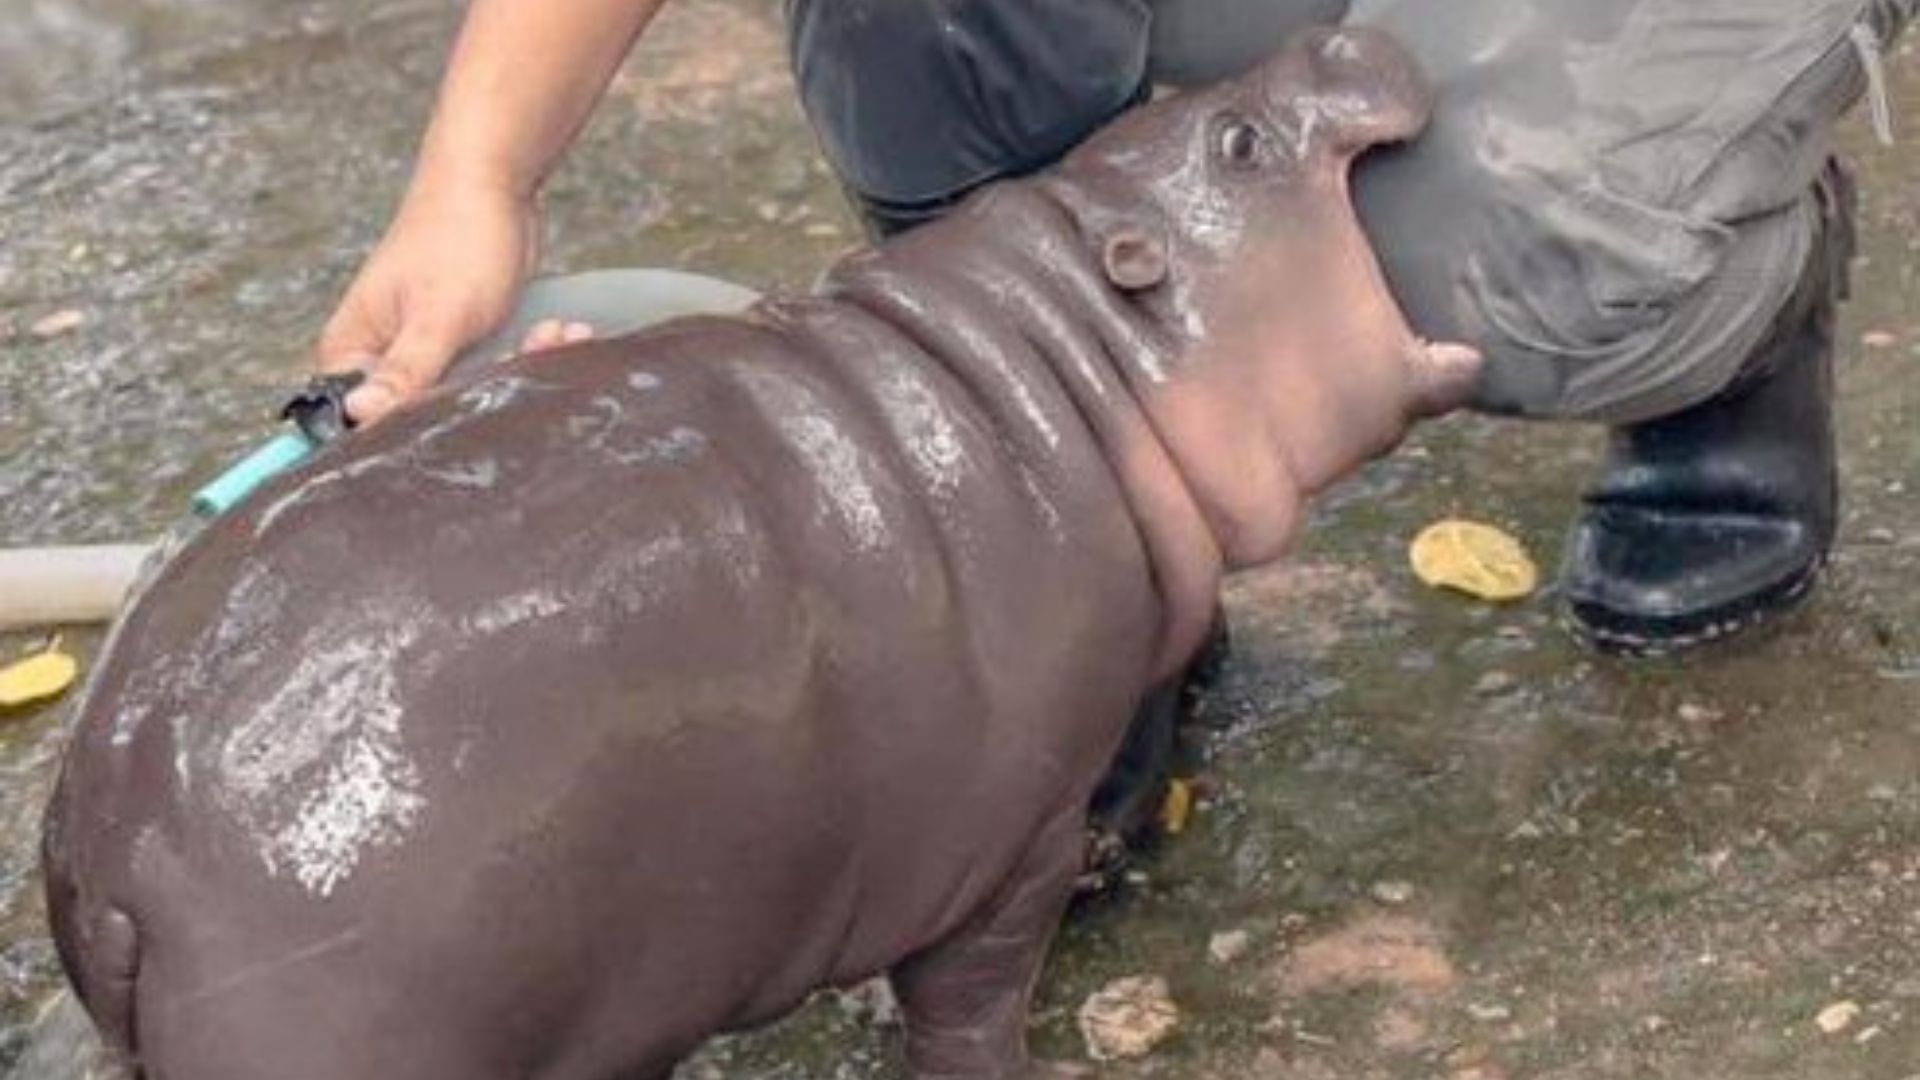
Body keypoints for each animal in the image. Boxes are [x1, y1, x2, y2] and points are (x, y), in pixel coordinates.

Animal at [48, 27, 1482, 1076]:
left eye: (1201, 114)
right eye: (1239, 143)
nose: (1343, 33)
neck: (1075, 359)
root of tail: (104, 850)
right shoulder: (1011, 845)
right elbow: (968, 1008)